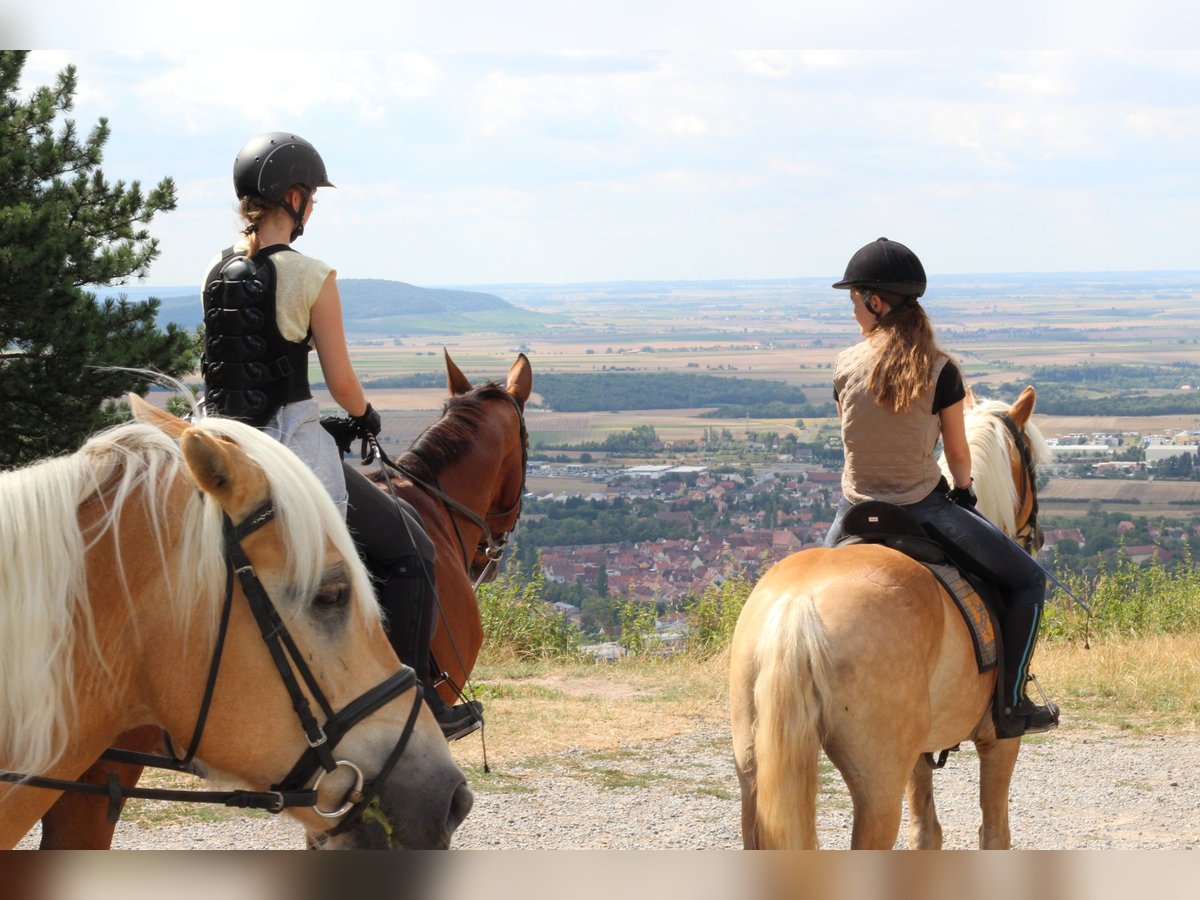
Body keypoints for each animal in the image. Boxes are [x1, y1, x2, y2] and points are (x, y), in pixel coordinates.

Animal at [724, 388, 1046, 854]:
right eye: (1032, 462)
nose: (1037, 536)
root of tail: (798, 606)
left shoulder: (918, 755)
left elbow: (927, 833)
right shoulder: (999, 741)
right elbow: (993, 832)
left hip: (753, 771)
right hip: (877, 787)